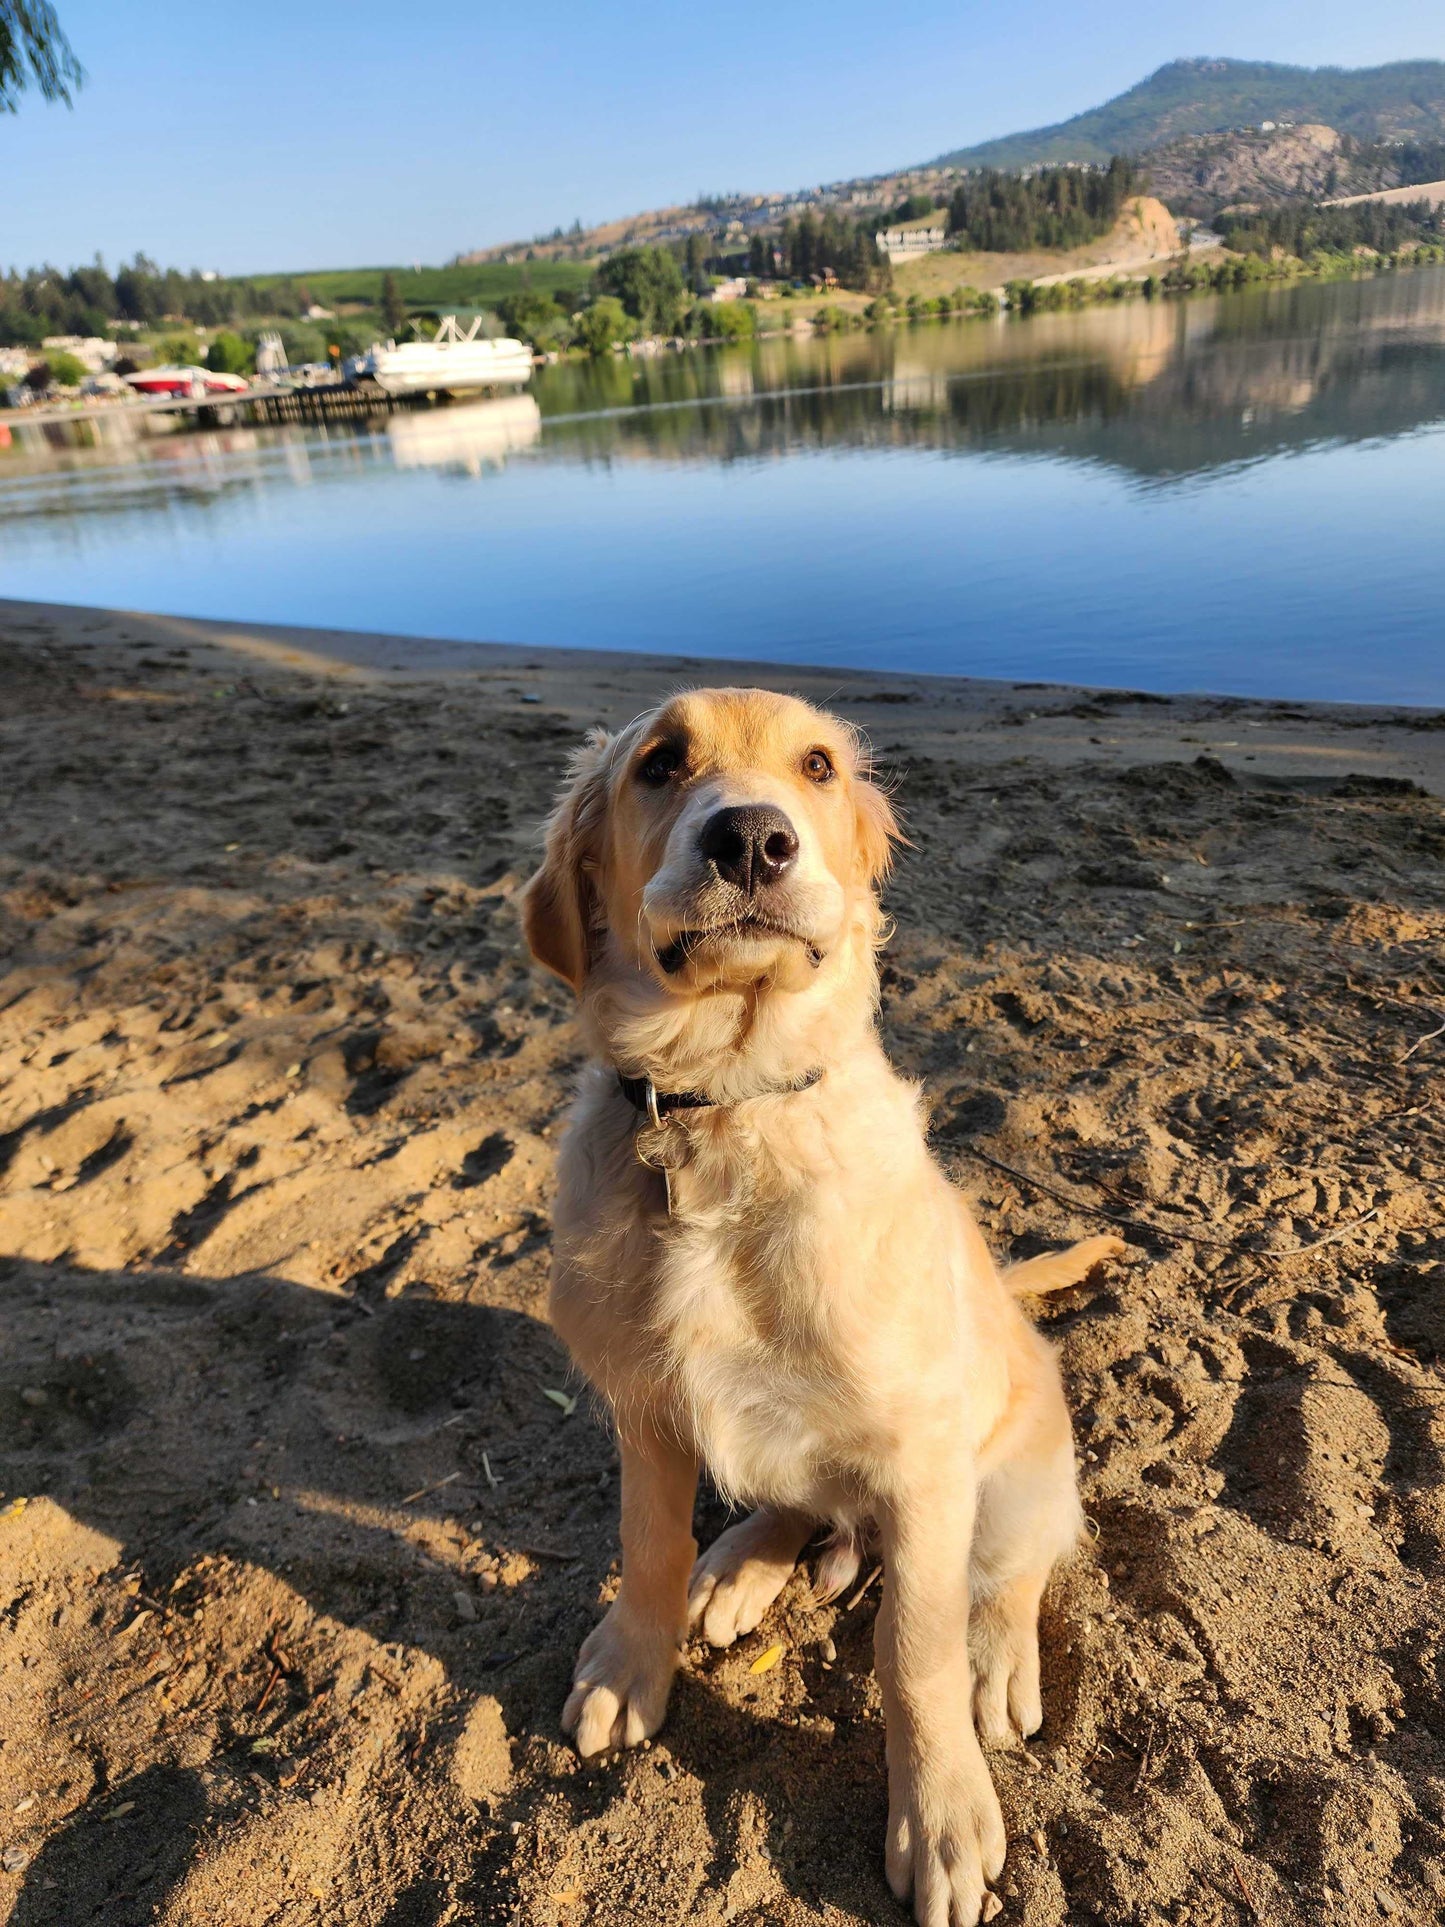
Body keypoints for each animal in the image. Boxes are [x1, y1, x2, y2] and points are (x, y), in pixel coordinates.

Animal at [520, 686, 1117, 1919]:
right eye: (659, 764)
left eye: (817, 766)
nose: (751, 839)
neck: (724, 1110)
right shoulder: (644, 1406)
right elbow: (646, 1542)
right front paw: (631, 1660)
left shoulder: (921, 1459)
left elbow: (913, 1647)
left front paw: (941, 1815)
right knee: (797, 1506)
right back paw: (739, 1567)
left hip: (1017, 1469)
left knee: (1012, 1569)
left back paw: (997, 1661)